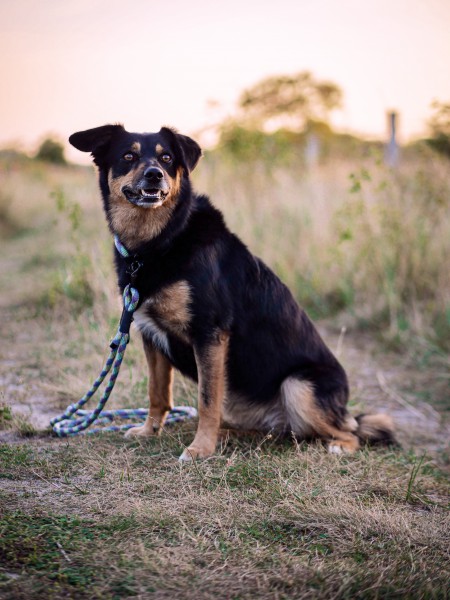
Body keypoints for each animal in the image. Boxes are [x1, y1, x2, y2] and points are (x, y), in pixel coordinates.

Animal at [68, 124, 396, 462]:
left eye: (167, 158)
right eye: (128, 156)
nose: (154, 174)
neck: (162, 240)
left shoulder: (209, 334)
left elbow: (207, 400)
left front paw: (200, 449)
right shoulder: (150, 334)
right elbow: (157, 392)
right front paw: (149, 431)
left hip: (299, 386)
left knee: (351, 433)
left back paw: (338, 445)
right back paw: (229, 436)